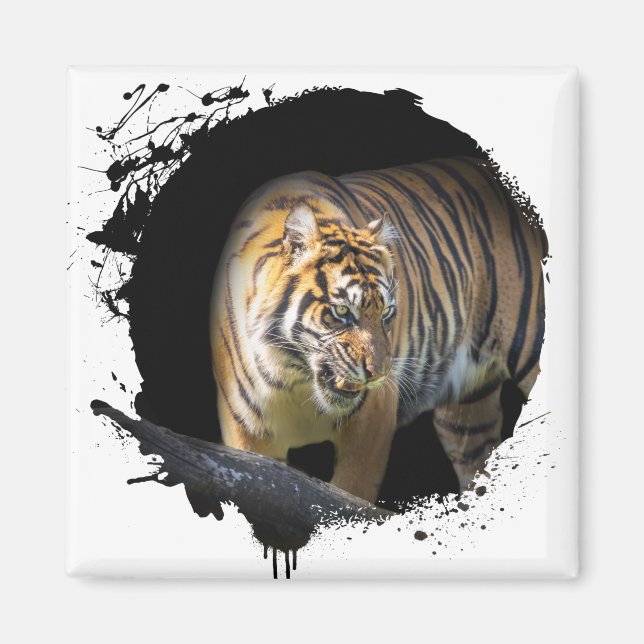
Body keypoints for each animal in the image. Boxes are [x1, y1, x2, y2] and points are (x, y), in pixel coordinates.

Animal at [210, 157, 547, 503]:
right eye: (342, 311)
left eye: (386, 313)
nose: (379, 374)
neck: (295, 378)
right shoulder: (247, 432)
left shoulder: (373, 418)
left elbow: (350, 494)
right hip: (467, 417)